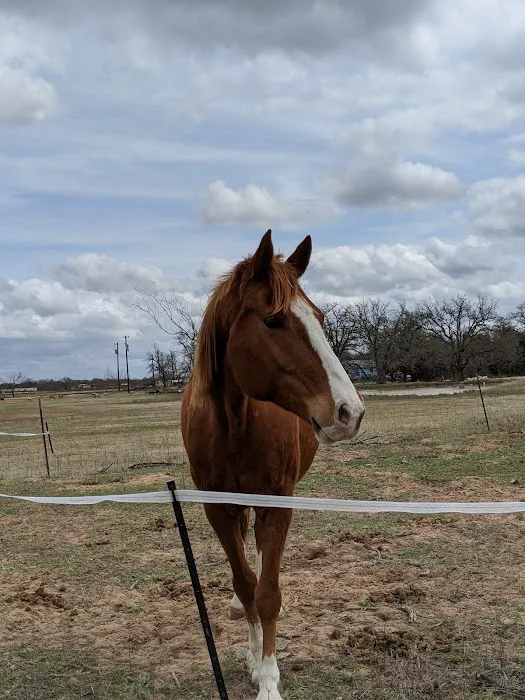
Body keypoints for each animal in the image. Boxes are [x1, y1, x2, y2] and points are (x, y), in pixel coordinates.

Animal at [181, 229, 365, 700]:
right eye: (273, 321)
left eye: (319, 316)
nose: (349, 412)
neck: (235, 424)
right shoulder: (218, 509)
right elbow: (245, 585)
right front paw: (252, 657)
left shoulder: (278, 502)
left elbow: (268, 594)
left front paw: (268, 679)